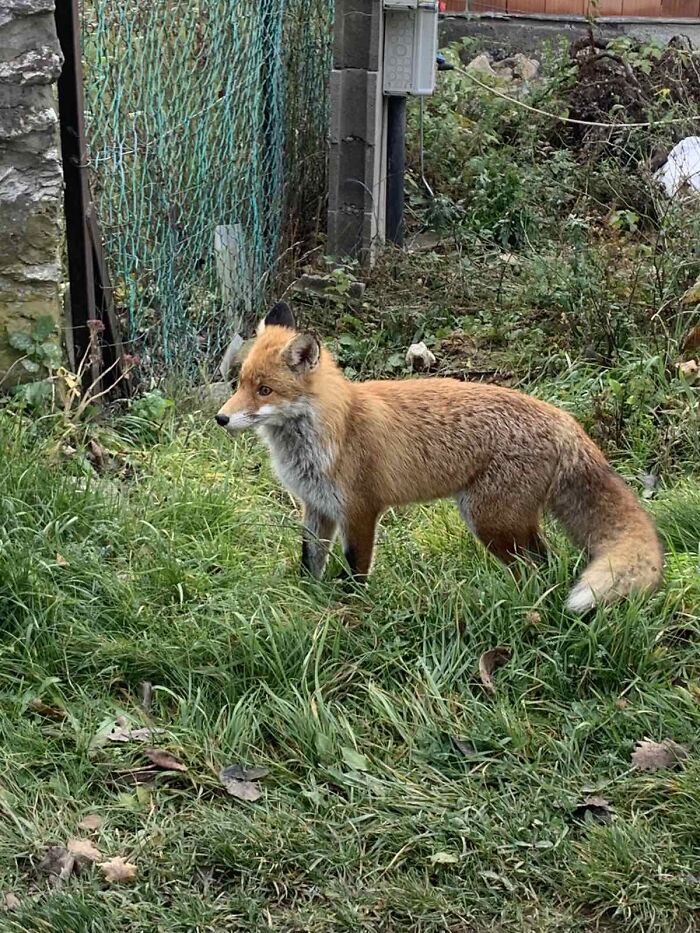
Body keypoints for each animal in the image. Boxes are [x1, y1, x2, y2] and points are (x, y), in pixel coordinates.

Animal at [215, 300, 663, 612]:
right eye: (240, 383)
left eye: (265, 390)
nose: (221, 418)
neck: (331, 431)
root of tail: (565, 418)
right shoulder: (317, 507)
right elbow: (310, 562)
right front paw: (307, 600)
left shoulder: (360, 510)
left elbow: (356, 569)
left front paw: (351, 610)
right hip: (502, 520)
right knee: (546, 562)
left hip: (490, 519)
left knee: (538, 565)